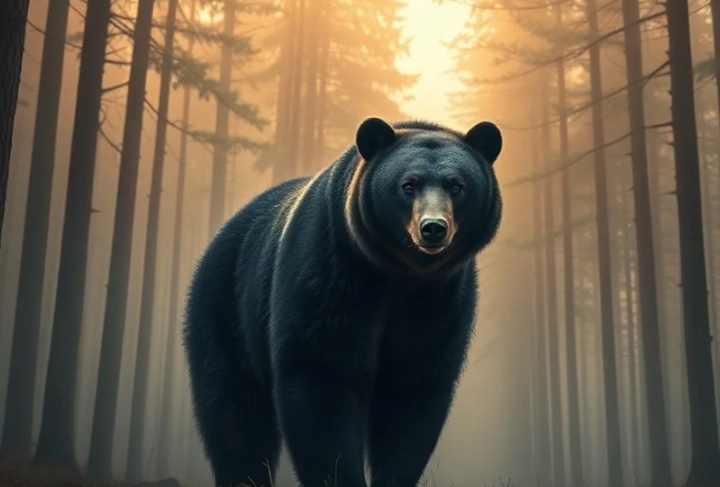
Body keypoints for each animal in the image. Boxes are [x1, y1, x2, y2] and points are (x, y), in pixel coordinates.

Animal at [182, 117, 503, 487]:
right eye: (408, 185)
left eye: (457, 185)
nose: (433, 228)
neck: (399, 275)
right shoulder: (330, 271)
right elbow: (322, 376)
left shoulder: (441, 298)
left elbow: (414, 391)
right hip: (225, 307)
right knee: (233, 412)